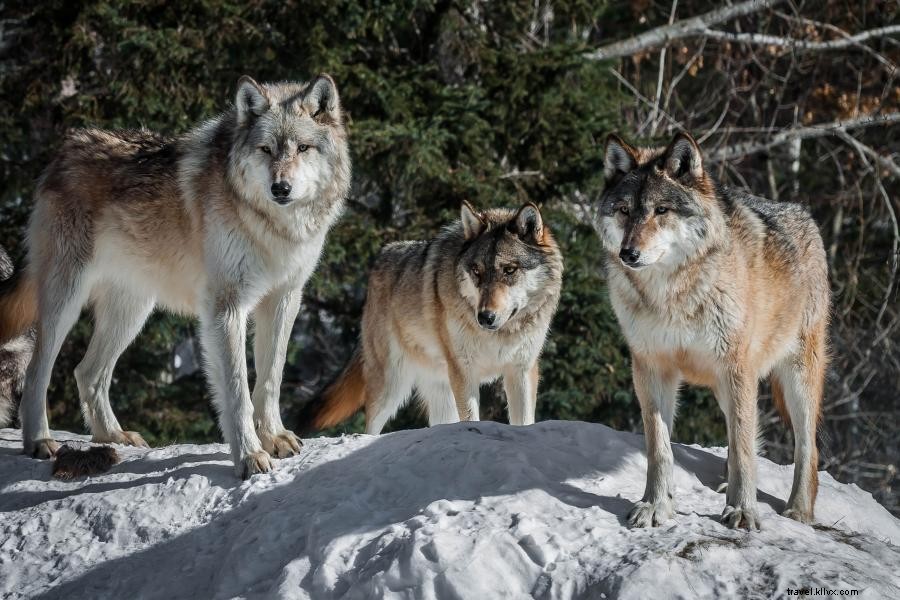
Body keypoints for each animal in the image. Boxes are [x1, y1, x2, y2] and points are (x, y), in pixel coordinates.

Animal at [0, 75, 352, 478]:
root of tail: (63, 152)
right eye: (265, 149)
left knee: (86, 372)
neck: (273, 226)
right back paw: (39, 440)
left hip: (132, 312)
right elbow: (237, 390)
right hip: (66, 301)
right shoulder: (226, 306)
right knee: (38, 372)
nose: (280, 188)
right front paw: (249, 456)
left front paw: (274, 438)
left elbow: (270, 380)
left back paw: (114, 436)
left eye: (303, 148)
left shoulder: (284, 299)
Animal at [296, 204, 564, 434]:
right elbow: (471, 417)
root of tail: (381, 256)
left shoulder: (521, 370)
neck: (499, 335)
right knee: (371, 426)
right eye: (476, 272)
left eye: (509, 270)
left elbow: (524, 422)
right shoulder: (464, 371)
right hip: (391, 385)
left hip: (438, 390)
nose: (485, 317)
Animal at [596, 132, 828, 528]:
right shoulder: (651, 367)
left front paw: (742, 510)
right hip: (723, 385)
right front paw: (655, 505)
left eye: (662, 210)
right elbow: (659, 449)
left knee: (804, 447)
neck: (672, 295)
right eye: (625, 210)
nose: (629, 254)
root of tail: (804, 214)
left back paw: (799, 510)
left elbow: (746, 449)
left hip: (793, 377)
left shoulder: (737, 368)